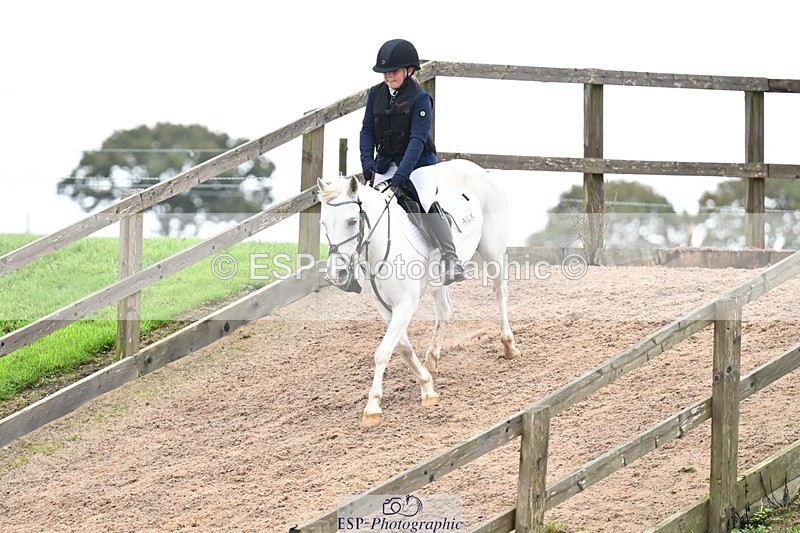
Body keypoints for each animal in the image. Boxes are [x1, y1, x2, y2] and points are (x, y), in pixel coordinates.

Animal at [317, 158, 520, 427]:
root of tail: (475, 167)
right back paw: (432, 359)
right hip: (438, 279)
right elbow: (402, 347)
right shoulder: (385, 306)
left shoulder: (405, 304)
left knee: (500, 292)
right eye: (324, 224)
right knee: (445, 311)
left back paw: (509, 346)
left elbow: (383, 352)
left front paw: (372, 407)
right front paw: (426, 386)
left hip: (492, 252)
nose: (336, 274)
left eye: (351, 221)